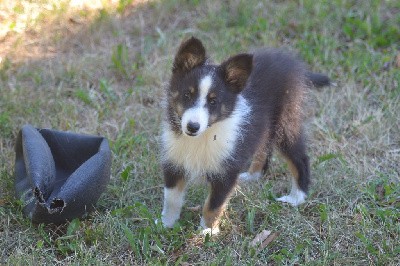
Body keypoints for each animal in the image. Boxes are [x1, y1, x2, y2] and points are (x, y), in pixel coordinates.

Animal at [159, 36, 328, 234]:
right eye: (187, 95)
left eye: (213, 102)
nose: (192, 127)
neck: (205, 135)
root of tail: (291, 63)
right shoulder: (174, 160)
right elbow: (171, 198)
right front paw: (165, 224)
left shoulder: (227, 170)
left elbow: (213, 205)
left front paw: (207, 232)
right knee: (263, 148)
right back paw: (252, 176)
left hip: (285, 122)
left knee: (300, 158)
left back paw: (296, 197)